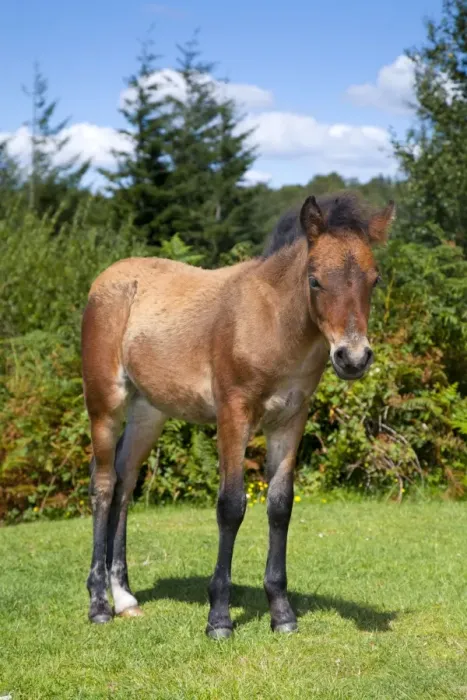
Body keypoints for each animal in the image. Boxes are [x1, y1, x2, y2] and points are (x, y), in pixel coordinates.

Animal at [81, 190, 395, 639]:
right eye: (315, 280)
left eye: (374, 280)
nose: (352, 358)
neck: (273, 325)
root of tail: (107, 279)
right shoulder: (234, 415)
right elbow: (231, 506)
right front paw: (219, 618)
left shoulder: (289, 421)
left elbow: (280, 505)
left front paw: (282, 613)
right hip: (105, 404)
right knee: (104, 486)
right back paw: (99, 604)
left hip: (148, 414)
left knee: (125, 484)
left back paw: (125, 598)